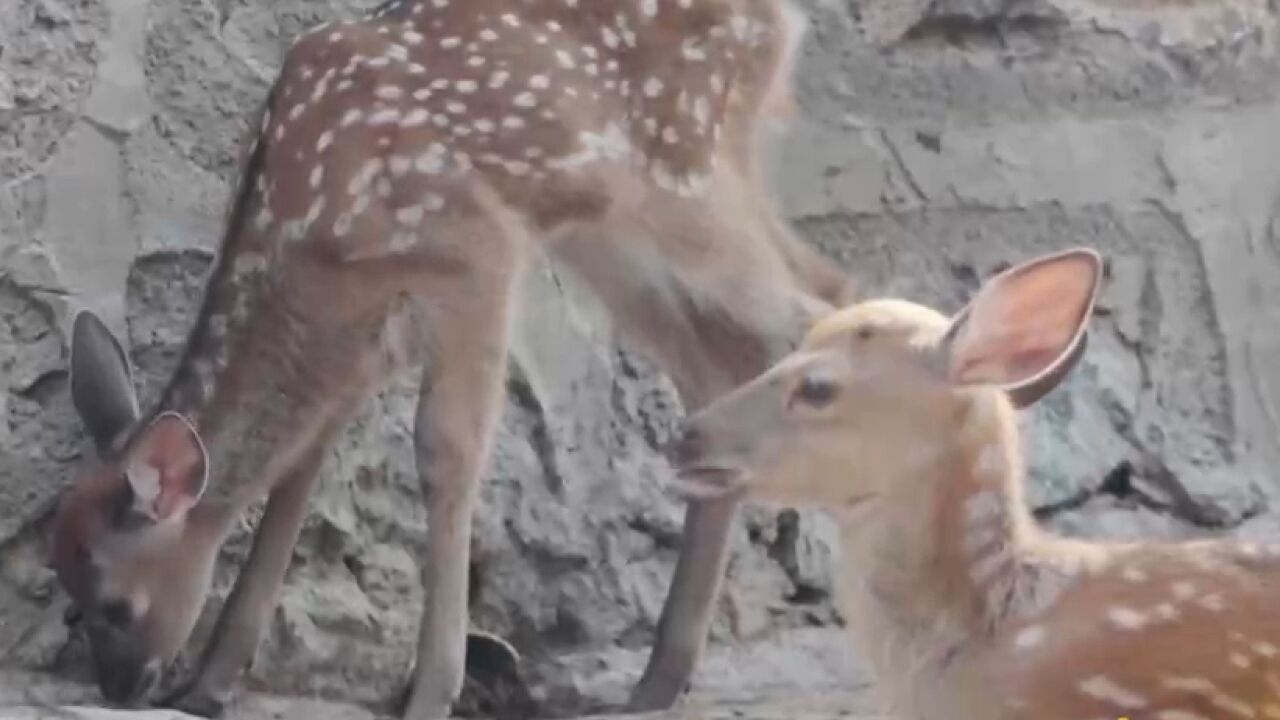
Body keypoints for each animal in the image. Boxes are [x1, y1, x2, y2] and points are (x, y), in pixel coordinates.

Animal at [45, 0, 855, 712]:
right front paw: (212, 683)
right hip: (613, 230)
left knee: (819, 301)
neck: (305, 237)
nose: (122, 689)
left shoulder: (474, 253)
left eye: (116, 603)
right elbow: (297, 477)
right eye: (67, 592)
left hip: (685, 170)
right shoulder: (364, 333)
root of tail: (780, 19)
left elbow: (445, 451)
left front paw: (432, 690)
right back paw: (658, 680)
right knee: (720, 363)